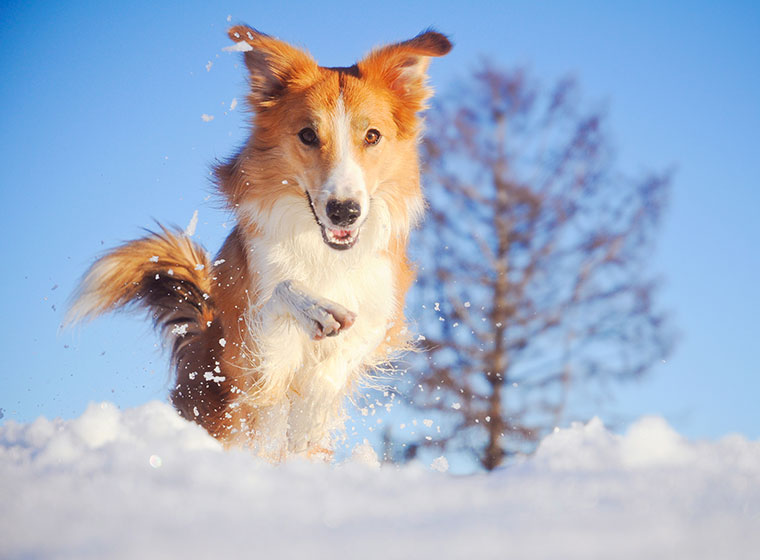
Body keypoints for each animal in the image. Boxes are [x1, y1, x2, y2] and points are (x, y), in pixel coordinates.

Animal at [68, 26, 452, 460]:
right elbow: (282, 292)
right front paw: (316, 310)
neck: (327, 256)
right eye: (308, 135)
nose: (344, 211)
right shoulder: (252, 337)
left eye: (372, 136)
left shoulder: (380, 314)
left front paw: (311, 408)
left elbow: (334, 368)